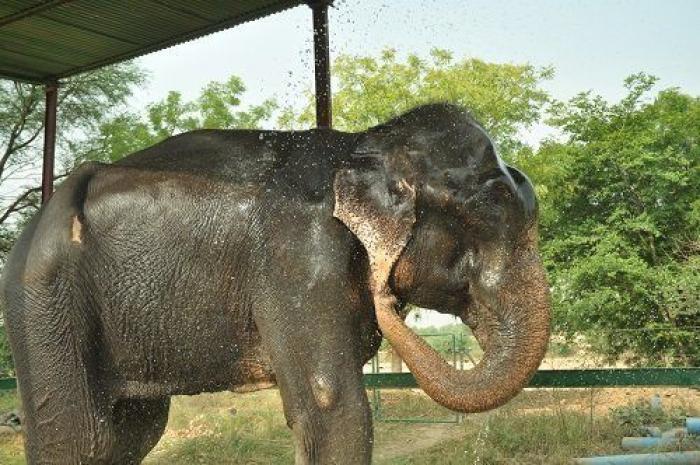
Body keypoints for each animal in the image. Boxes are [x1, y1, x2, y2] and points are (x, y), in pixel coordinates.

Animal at [0, 103, 551, 464]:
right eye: (492, 210)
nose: (389, 296)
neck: (362, 145)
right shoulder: (299, 258)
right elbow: (332, 407)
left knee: (133, 432)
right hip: (43, 300)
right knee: (81, 439)